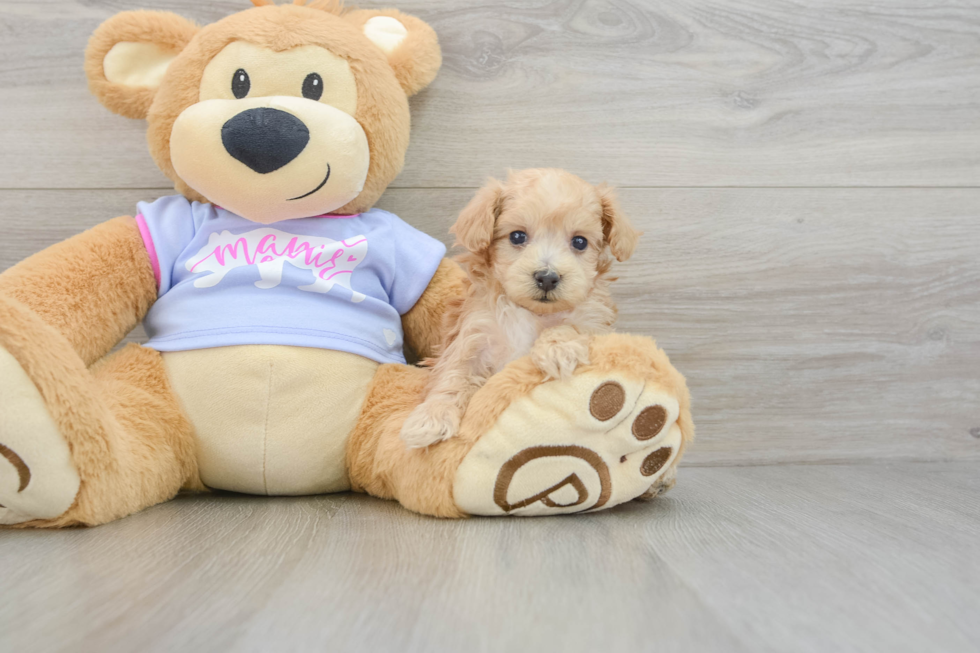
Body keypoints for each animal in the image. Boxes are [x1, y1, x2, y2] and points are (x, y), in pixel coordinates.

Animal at [400, 168, 644, 448]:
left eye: (580, 242)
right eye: (517, 236)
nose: (547, 277)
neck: (530, 313)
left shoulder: (594, 323)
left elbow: (572, 325)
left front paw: (557, 349)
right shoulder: (473, 336)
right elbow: (452, 374)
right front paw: (431, 417)